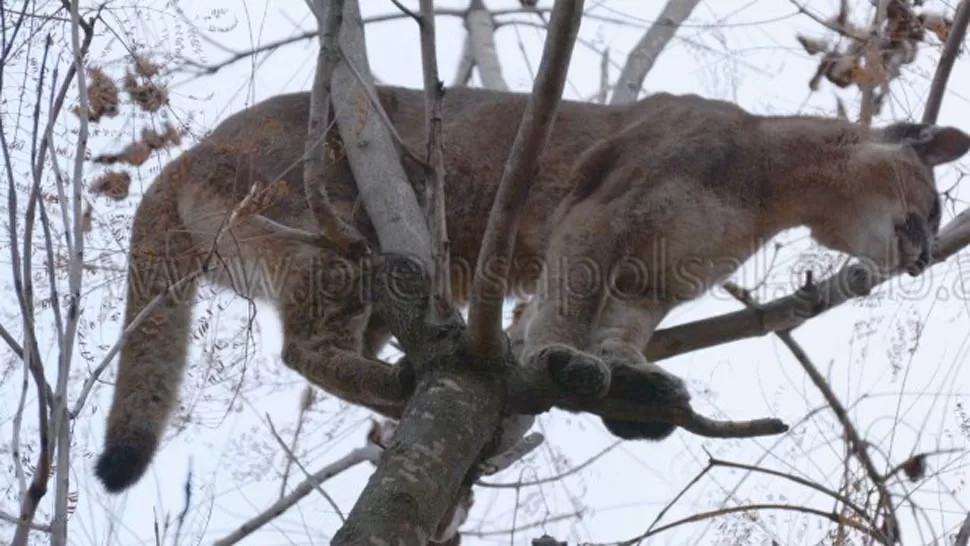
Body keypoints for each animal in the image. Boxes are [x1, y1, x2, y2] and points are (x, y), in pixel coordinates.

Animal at [92, 83, 968, 490]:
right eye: (930, 207)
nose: (926, 253)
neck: (773, 188)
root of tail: (187, 153)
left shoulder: (649, 282)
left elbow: (620, 332)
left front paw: (633, 378)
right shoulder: (599, 221)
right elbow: (563, 309)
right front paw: (559, 361)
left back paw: (410, 390)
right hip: (326, 226)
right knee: (303, 348)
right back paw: (401, 382)